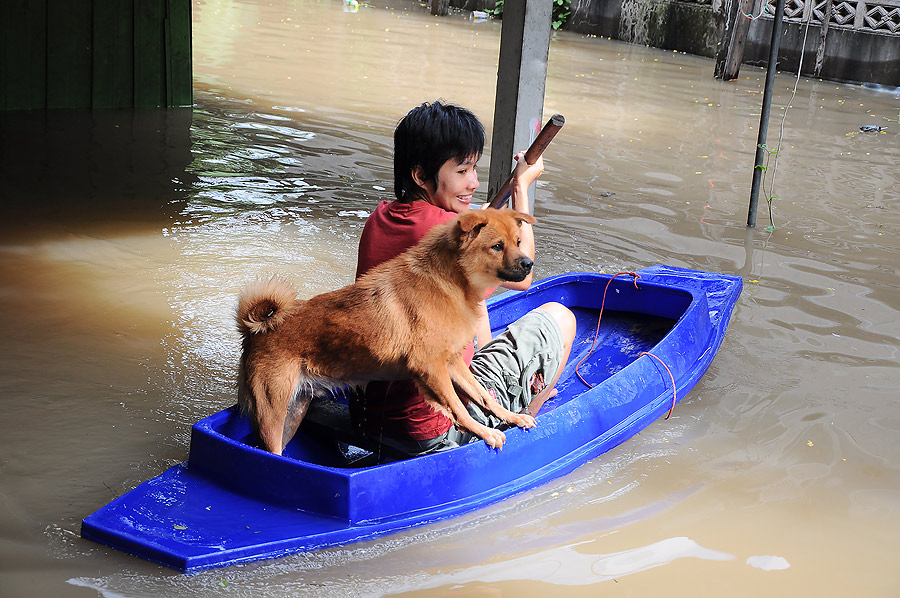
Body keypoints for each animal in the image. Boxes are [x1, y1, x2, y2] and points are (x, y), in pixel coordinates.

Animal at [236, 209, 536, 458]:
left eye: (518, 242)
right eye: (496, 246)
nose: (529, 264)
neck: (448, 281)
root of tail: (255, 331)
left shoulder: (451, 363)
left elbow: (483, 396)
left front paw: (512, 417)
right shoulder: (431, 368)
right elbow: (460, 408)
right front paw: (485, 432)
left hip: (294, 412)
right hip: (272, 416)